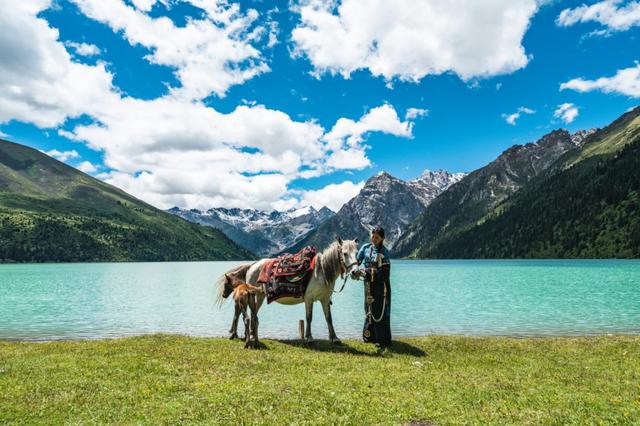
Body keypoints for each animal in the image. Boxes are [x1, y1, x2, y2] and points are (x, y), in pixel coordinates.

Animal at [216, 238, 360, 344]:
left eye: (357, 253)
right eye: (345, 253)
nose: (355, 272)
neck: (322, 271)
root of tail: (252, 265)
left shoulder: (324, 299)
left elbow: (329, 318)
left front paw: (334, 338)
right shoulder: (309, 299)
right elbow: (309, 317)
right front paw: (309, 337)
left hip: (259, 296)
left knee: (252, 313)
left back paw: (248, 334)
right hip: (255, 296)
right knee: (246, 312)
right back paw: (243, 335)